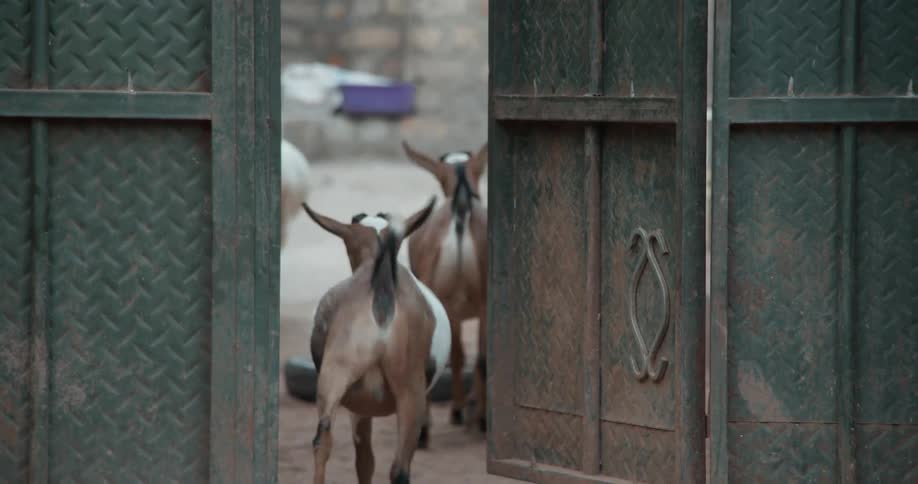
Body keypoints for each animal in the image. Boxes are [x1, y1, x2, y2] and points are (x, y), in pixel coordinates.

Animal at [303, 197, 450, 484]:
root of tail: (381, 287)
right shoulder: (362, 410)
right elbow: (366, 463)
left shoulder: (356, 402)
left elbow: (363, 460)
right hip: (410, 394)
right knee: (399, 469)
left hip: (334, 376)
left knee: (322, 440)